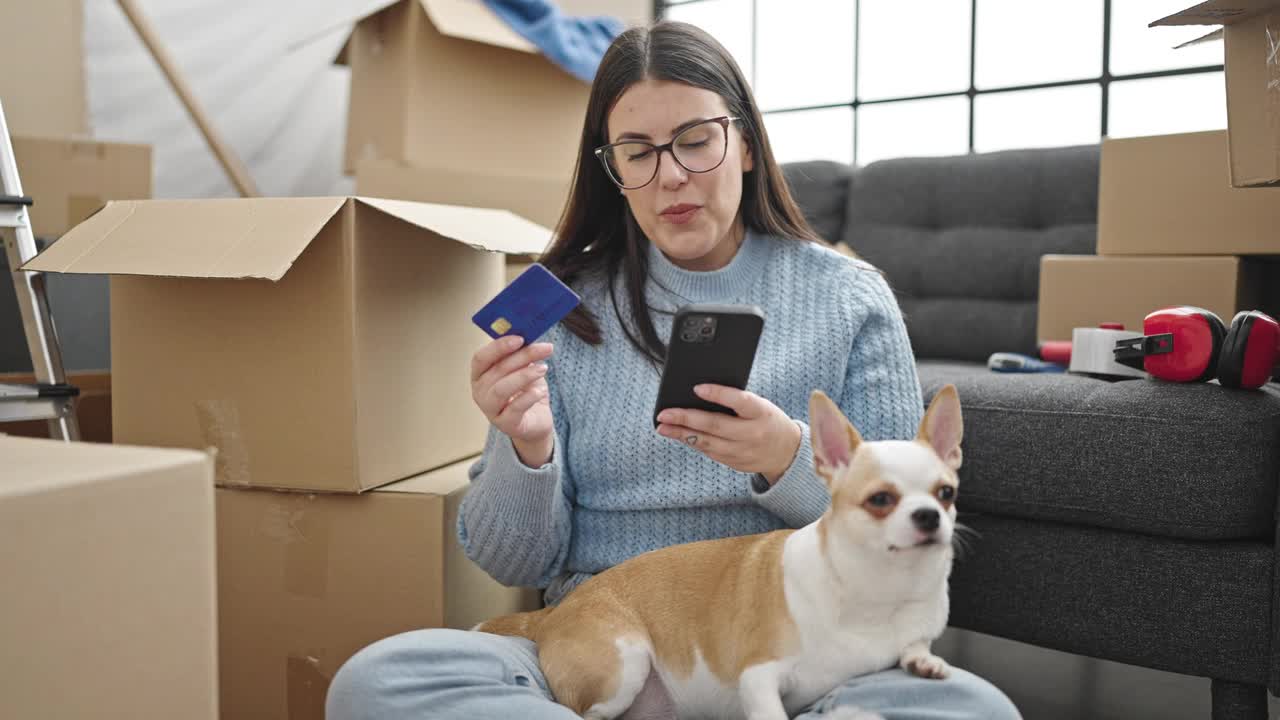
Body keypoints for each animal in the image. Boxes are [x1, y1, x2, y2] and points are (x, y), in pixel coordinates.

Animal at [478, 384, 962, 712]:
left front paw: (925, 662)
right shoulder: (759, 678)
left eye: (946, 494)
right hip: (623, 665)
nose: (929, 516)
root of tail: (554, 614)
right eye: (880, 500)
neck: (878, 589)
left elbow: (915, 644)